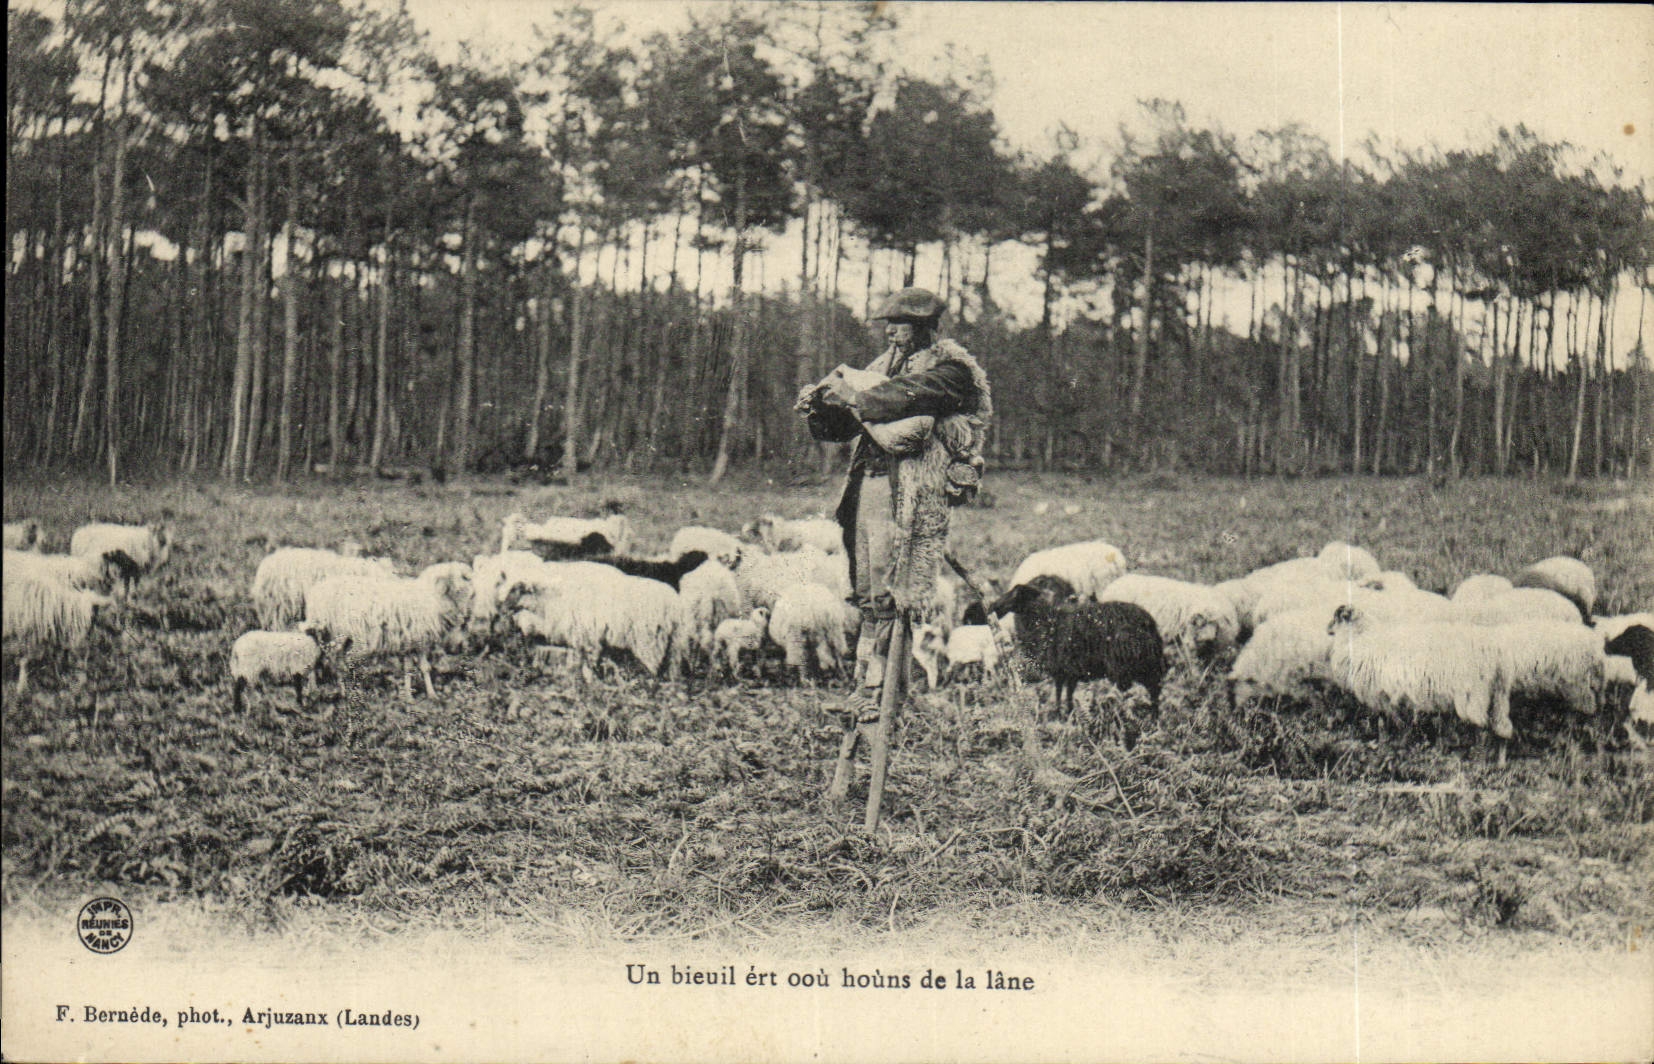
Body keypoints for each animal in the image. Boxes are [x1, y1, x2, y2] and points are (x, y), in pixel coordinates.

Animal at [3, 562, 114, 693]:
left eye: (94, 619)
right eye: (77, 620)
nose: (84, 684)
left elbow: (54, 657)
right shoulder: (27, 633)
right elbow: (24, 659)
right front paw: (21, 687)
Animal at [303, 562, 473, 699]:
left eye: (463, 577)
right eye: (455, 577)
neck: (432, 596)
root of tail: (315, 593)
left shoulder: (411, 641)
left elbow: (415, 668)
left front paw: (416, 696)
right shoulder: (417, 638)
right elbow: (418, 668)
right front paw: (426, 695)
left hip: (335, 635)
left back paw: (337, 691)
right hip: (334, 633)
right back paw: (320, 691)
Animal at [990, 575, 1165, 747]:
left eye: (1016, 593)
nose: (993, 606)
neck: (1045, 620)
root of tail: (1148, 622)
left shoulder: (1064, 669)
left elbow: (1061, 693)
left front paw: (1062, 716)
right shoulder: (1068, 673)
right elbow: (1065, 693)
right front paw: (1067, 716)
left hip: (1130, 666)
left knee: (1142, 693)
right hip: (1147, 665)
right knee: (1154, 691)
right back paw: (1151, 723)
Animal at [1326, 604, 1514, 760]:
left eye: (1336, 617)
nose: (1327, 628)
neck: (1360, 638)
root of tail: (1493, 652)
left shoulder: (1377, 692)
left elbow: (1383, 721)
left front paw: (1384, 743)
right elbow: (1399, 720)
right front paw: (1401, 741)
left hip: (1473, 693)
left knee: (1482, 727)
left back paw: (1478, 757)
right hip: (1498, 693)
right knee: (1501, 727)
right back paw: (1499, 762)